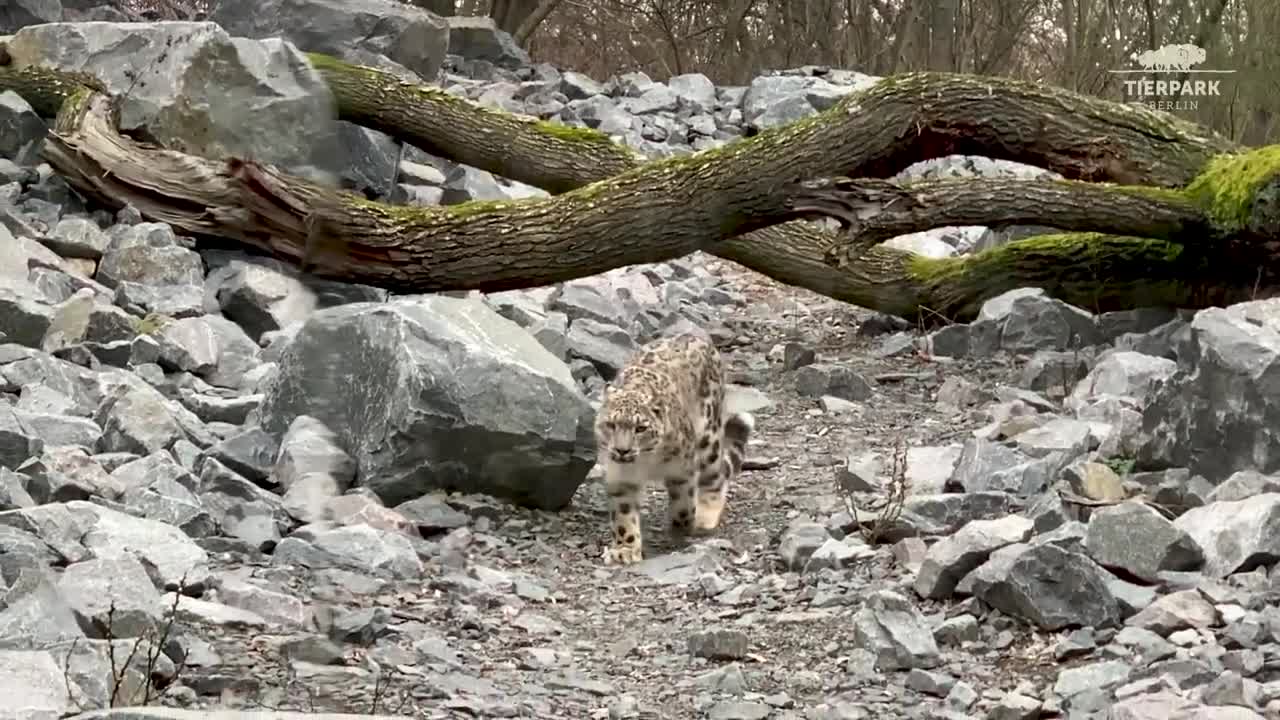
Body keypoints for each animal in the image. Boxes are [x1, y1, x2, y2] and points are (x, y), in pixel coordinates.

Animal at [593, 327, 752, 563]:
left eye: (640, 428)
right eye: (611, 424)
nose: (622, 450)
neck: (645, 462)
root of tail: (694, 334)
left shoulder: (682, 470)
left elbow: (684, 506)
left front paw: (681, 530)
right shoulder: (619, 478)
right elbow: (623, 515)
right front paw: (625, 550)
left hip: (708, 438)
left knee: (715, 477)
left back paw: (705, 516)